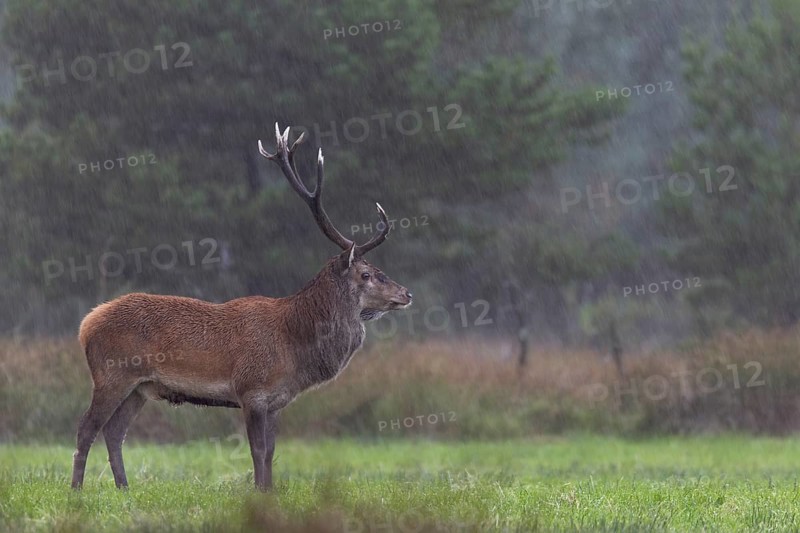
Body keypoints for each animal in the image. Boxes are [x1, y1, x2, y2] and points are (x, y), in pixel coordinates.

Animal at [70, 123, 412, 491]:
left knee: (114, 431)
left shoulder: (276, 401)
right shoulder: (251, 390)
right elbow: (257, 450)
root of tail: (86, 324)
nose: (406, 293)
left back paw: (124, 487)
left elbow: (272, 451)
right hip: (112, 374)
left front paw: (270, 490)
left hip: (140, 387)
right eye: (367, 274)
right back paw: (76, 490)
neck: (294, 345)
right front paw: (260, 491)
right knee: (87, 427)